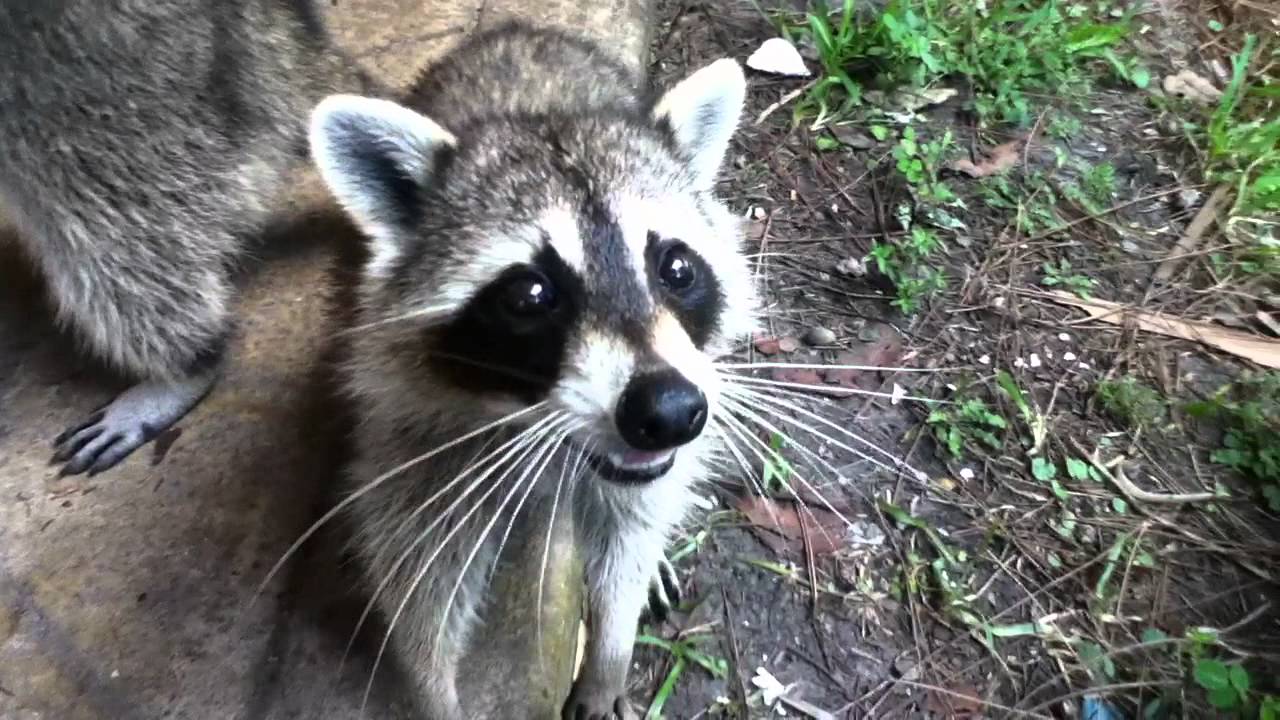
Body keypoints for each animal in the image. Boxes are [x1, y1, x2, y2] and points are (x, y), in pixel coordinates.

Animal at [308, 21, 759, 720]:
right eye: (529, 296)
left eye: (677, 269)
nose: (669, 412)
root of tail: (516, 30)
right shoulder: (417, 433)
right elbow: (419, 570)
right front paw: (432, 690)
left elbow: (632, 529)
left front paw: (608, 655)